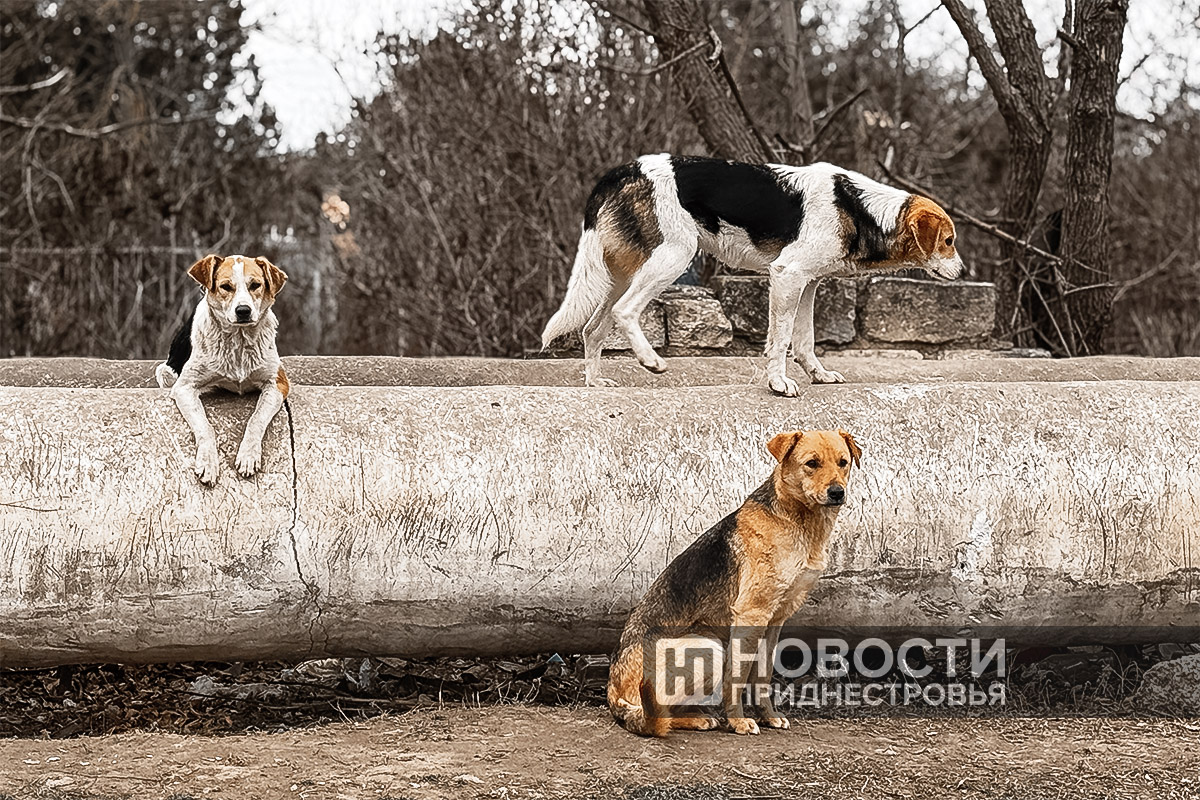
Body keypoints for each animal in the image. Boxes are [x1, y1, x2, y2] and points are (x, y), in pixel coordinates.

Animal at [155, 254, 289, 485]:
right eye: (226, 287)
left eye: (255, 285)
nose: (243, 311)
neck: (238, 340)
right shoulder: (184, 387)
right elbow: (204, 426)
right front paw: (208, 462)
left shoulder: (278, 383)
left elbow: (256, 419)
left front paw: (248, 456)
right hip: (165, 372)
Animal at [541, 155, 964, 394]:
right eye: (948, 241)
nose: (962, 272)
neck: (860, 208)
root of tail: (623, 170)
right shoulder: (787, 276)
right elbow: (779, 342)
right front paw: (778, 384)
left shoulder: (808, 284)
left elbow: (805, 342)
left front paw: (818, 375)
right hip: (671, 257)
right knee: (624, 312)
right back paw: (651, 361)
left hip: (621, 274)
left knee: (593, 328)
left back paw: (595, 383)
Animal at [607, 428, 861, 736]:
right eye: (812, 463)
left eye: (843, 462)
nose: (837, 492)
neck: (797, 520)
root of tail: (613, 694)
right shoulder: (751, 614)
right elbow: (736, 679)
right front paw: (738, 721)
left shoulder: (774, 621)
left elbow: (762, 676)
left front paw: (769, 716)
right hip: (709, 647)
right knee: (656, 715)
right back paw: (697, 719)